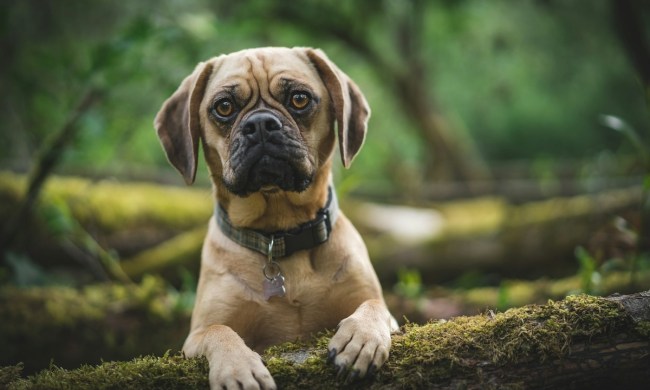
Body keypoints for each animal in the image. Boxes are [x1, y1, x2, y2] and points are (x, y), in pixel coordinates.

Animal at [154, 47, 394, 388]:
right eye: (224, 107)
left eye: (299, 99)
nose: (261, 123)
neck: (278, 235)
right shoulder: (197, 334)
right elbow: (220, 331)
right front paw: (238, 368)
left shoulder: (379, 306)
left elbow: (375, 306)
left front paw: (361, 337)